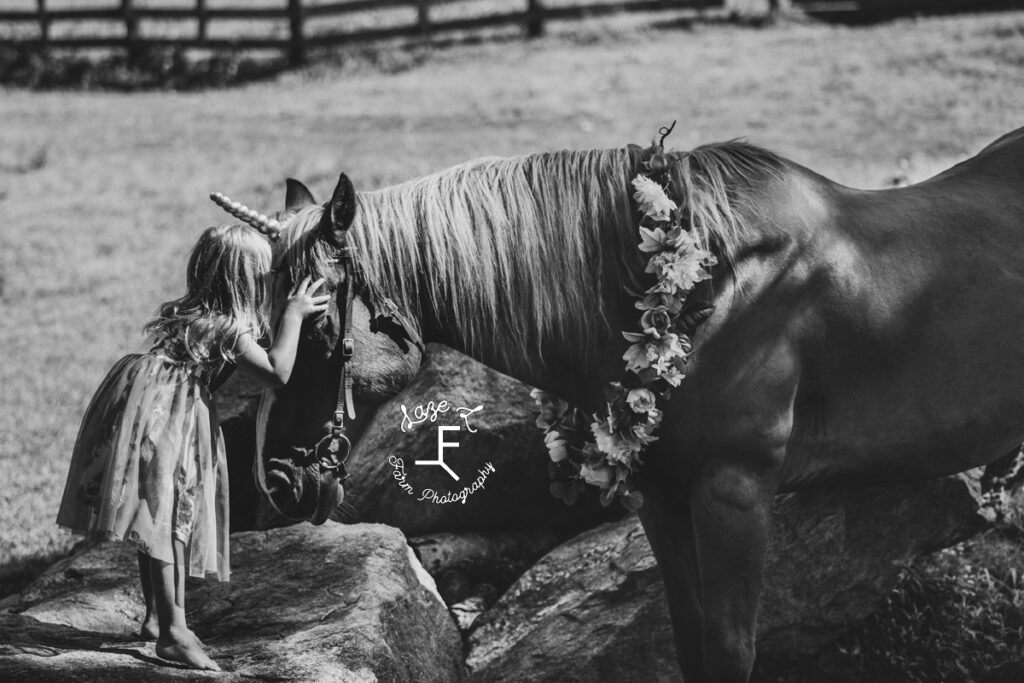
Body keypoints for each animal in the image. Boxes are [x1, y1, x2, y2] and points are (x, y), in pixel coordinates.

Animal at [251, 126, 1024, 679]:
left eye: (318, 325)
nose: (281, 479)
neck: (713, 286)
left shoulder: (734, 492)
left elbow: (729, 647)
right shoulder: (660, 496)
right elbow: (688, 638)